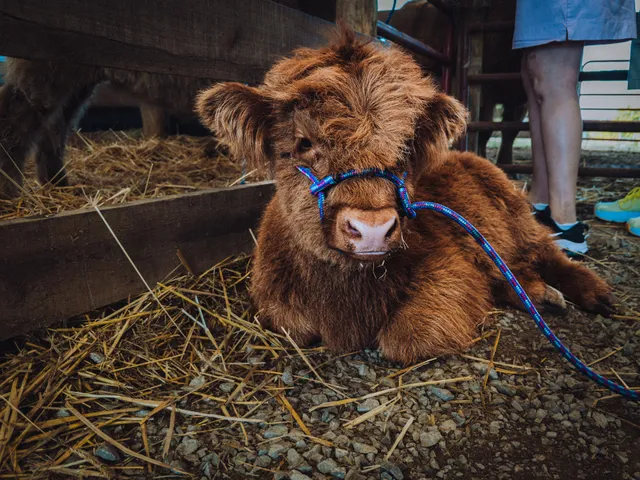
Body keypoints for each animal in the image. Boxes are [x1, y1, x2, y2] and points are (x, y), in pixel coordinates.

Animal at [195, 29, 614, 364]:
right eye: (304, 142)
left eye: (404, 146)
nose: (372, 229)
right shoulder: (273, 300)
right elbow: (292, 325)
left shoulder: (451, 269)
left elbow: (406, 338)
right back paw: (541, 295)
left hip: (519, 221)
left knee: (548, 252)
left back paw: (593, 293)